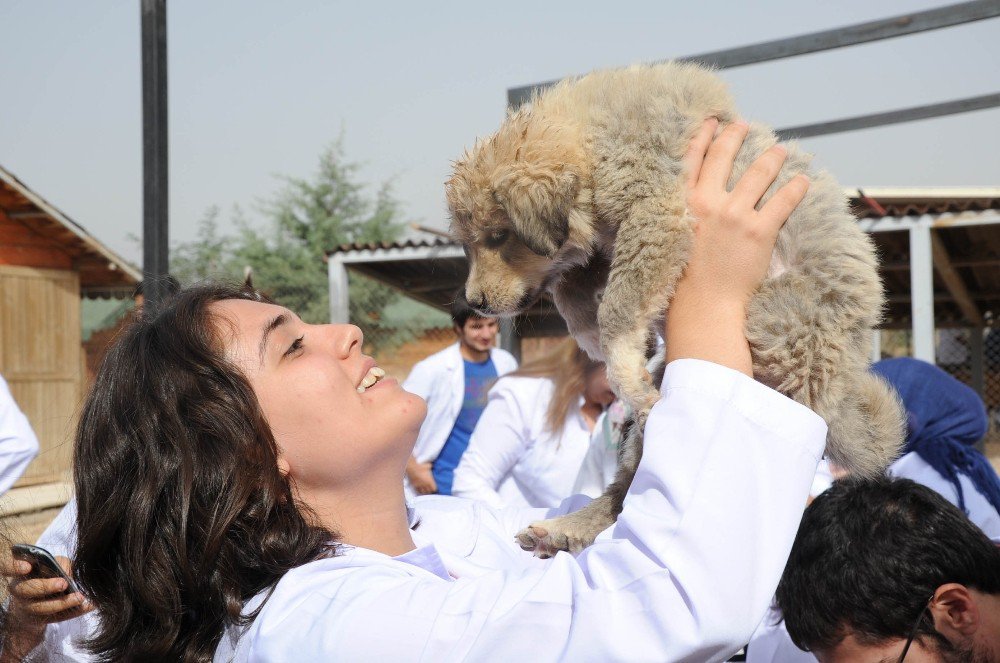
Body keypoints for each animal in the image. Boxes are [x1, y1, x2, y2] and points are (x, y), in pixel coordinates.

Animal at [446, 63, 908, 560]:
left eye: (497, 237)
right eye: (470, 244)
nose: (474, 302)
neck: (592, 139)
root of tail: (842, 380)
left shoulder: (654, 214)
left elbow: (615, 308)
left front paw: (624, 365)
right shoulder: (603, 246)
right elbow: (573, 295)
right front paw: (613, 341)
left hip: (778, 321)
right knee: (624, 493)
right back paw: (563, 528)